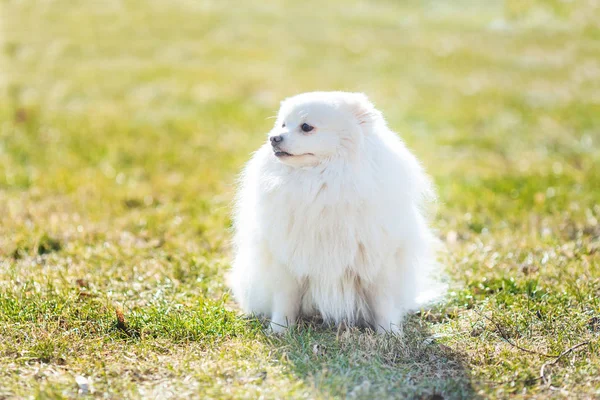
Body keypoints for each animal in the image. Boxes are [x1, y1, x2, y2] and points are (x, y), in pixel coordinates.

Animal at [227, 92, 442, 332]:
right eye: (282, 125)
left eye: (306, 127)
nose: (273, 138)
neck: (323, 180)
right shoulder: (287, 262)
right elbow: (285, 300)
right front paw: (279, 329)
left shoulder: (377, 261)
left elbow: (382, 301)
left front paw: (389, 332)